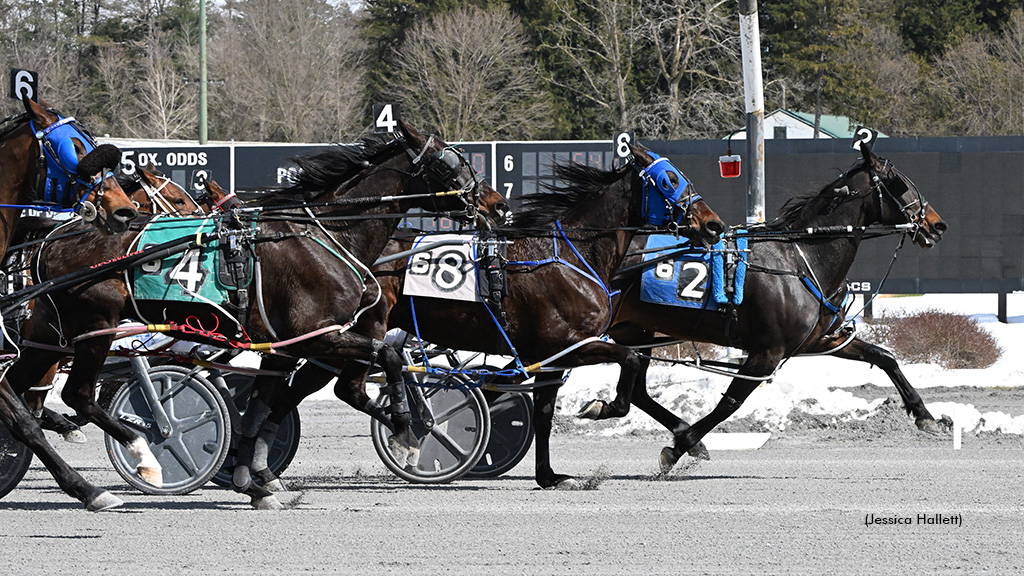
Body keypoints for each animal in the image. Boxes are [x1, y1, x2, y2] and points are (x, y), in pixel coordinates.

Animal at [248, 141, 729, 485]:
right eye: (669, 180)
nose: (714, 224)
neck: (570, 252)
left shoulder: (551, 357)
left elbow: (544, 414)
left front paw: (549, 476)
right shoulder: (571, 345)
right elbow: (627, 363)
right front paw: (601, 406)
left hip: (332, 342)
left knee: (295, 393)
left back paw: (255, 468)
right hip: (354, 336)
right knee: (336, 388)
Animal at [593, 143, 950, 471]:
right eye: (898, 183)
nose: (937, 225)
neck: (800, 258)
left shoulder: (820, 340)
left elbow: (884, 356)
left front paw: (925, 415)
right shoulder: (767, 352)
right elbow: (731, 403)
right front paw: (680, 446)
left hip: (636, 331)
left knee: (638, 390)